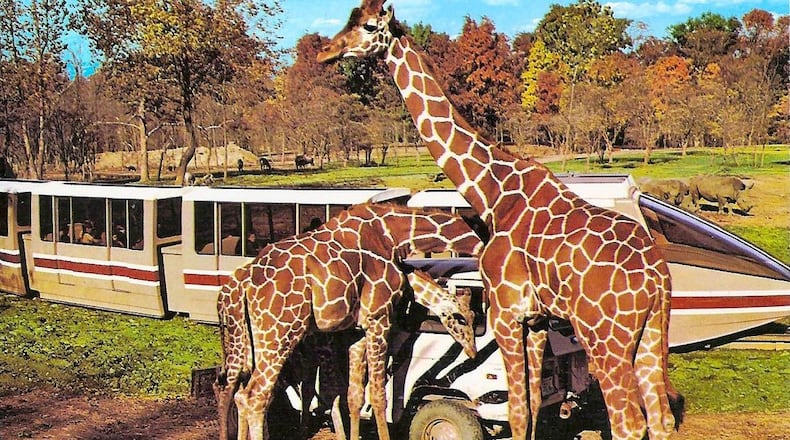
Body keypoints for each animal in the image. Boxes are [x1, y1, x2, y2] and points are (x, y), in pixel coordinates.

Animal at [214, 203, 483, 440]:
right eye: (462, 318)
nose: (472, 352)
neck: (393, 235)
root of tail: (242, 285)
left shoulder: (357, 332)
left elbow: (354, 396)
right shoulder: (378, 318)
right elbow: (378, 395)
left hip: (248, 339)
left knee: (238, 391)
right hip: (280, 333)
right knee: (254, 396)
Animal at [317, 2, 683, 440]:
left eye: (369, 27)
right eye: (349, 17)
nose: (324, 52)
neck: (493, 194)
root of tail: (657, 277)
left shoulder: (505, 313)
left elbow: (517, 411)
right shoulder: (537, 321)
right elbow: (533, 404)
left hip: (605, 337)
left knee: (629, 422)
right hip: (651, 333)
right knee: (661, 419)